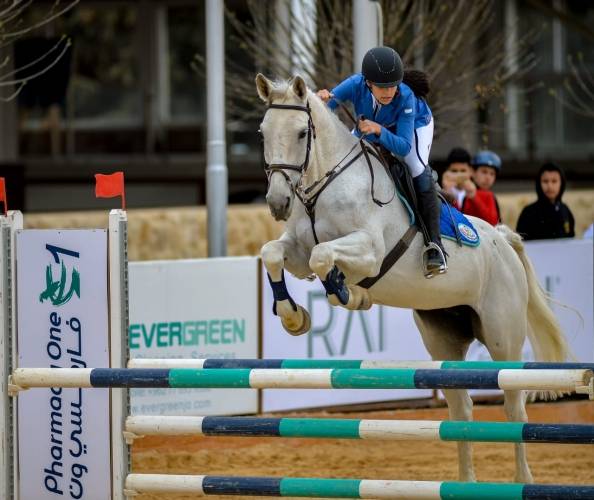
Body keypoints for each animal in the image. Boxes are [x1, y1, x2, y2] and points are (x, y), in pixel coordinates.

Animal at [255, 73, 570, 484]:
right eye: (262, 132)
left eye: (300, 133)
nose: (278, 203)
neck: (327, 184)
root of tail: (503, 237)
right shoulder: (295, 252)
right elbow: (274, 254)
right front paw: (294, 316)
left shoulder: (370, 250)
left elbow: (323, 256)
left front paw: (348, 294)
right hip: (443, 339)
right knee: (461, 410)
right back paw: (465, 484)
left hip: (504, 337)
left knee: (514, 407)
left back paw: (522, 481)